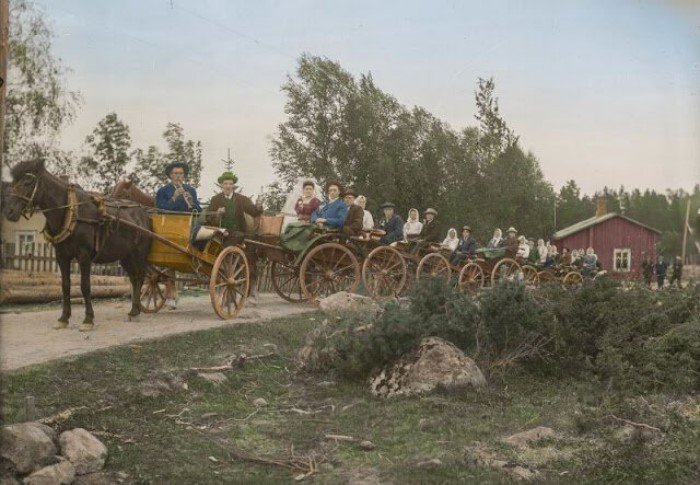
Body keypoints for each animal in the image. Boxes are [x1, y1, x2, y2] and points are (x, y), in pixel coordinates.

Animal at [2, 161, 153, 330]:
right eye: (13, 183)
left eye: (27, 181)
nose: (9, 211)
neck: (71, 212)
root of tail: (144, 213)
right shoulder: (62, 256)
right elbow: (66, 285)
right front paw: (63, 318)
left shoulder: (84, 256)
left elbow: (85, 286)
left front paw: (88, 319)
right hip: (125, 257)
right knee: (134, 279)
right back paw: (134, 310)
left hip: (139, 255)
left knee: (141, 278)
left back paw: (136, 311)